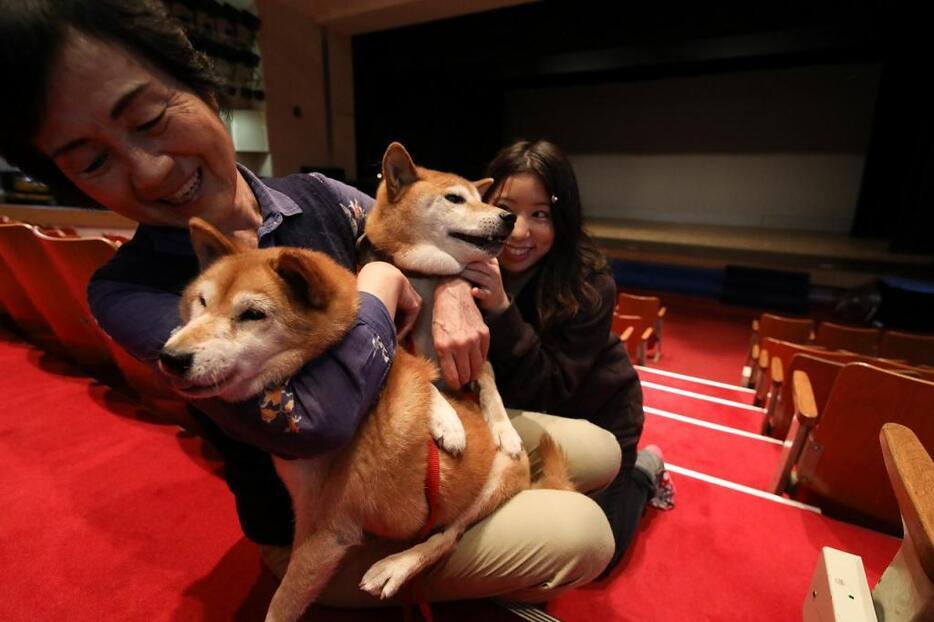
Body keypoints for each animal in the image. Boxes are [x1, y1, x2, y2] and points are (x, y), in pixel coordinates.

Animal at [157, 219, 576, 622]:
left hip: (492, 486)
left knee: (446, 538)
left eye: (253, 315)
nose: (169, 357)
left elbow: (281, 604)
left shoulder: (328, 532)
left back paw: (395, 566)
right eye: (202, 302)